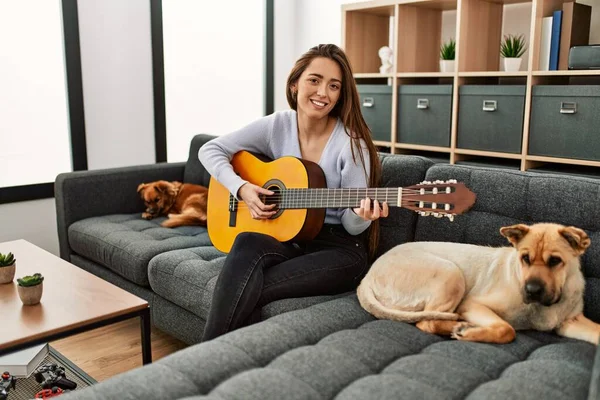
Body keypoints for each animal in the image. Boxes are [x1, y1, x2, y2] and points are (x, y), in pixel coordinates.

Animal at [356, 223, 600, 346]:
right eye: (525, 258)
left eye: (555, 261)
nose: (531, 290)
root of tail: (367, 276)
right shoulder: (472, 304)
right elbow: (506, 329)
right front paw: (470, 332)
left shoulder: (571, 322)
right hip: (451, 273)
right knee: (427, 322)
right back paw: (459, 326)